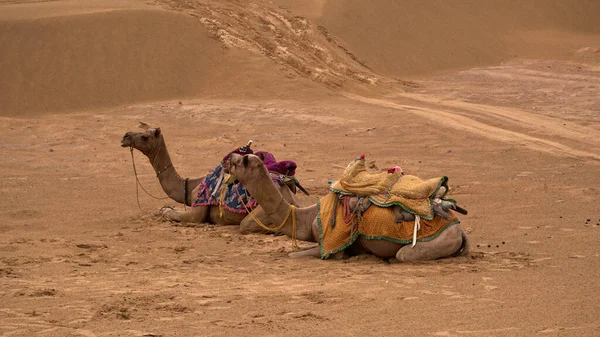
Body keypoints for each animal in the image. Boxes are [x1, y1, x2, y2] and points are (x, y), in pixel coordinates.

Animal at [120, 124, 302, 234]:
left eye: (145, 136)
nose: (125, 136)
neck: (189, 187)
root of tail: (293, 201)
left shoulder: (197, 209)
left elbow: (169, 213)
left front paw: (165, 211)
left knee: (247, 225)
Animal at [227, 154, 472, 262]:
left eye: (238, 162)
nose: (226, 161)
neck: (307, 216)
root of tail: (459, 230)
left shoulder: (333, 247)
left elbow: (292, 254)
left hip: (437, 241)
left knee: (403, 255)